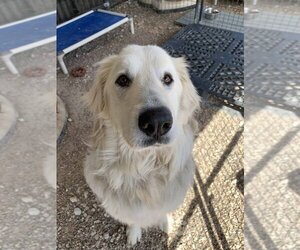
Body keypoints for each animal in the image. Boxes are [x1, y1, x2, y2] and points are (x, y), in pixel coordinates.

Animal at [83, 44, 200, 244]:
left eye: (167, 78)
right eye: (122, 80)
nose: (157, 122)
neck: (145, 166)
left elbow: (163, 211)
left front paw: (165, 222)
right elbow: (133, 220)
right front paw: (133, 233)